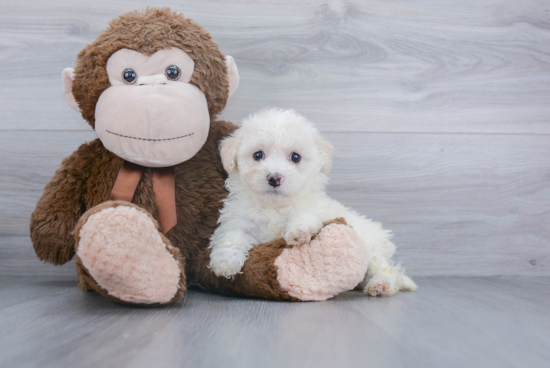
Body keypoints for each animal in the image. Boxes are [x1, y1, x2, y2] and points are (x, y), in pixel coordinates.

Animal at [209, 107, 416, 296]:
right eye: (258, 155)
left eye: (295, 157)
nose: (274, 178)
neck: (274, 206)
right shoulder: (238, 220)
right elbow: (231, 236)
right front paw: (224, 263)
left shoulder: (314, 208)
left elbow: (304, 216)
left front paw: (299, 231)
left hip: (371, 249)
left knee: (387, 270)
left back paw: (382, 285)